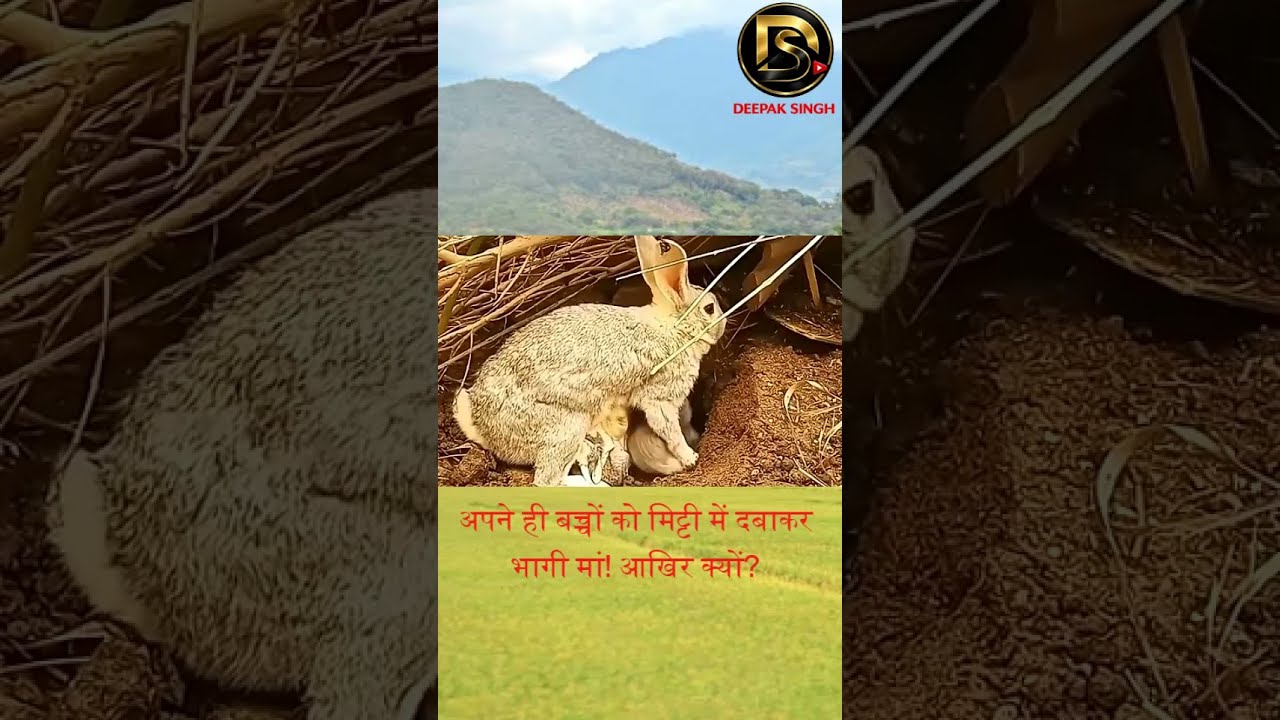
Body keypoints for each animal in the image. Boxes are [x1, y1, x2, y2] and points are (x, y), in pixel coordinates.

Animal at [452, 236, 725, 487]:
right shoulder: (660, 398)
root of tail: (484, 430)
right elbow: (670, 430)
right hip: (566, 428)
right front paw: (690, 457)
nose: (722, 324)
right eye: (710, 308)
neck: (674, 328)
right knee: (547, 480)